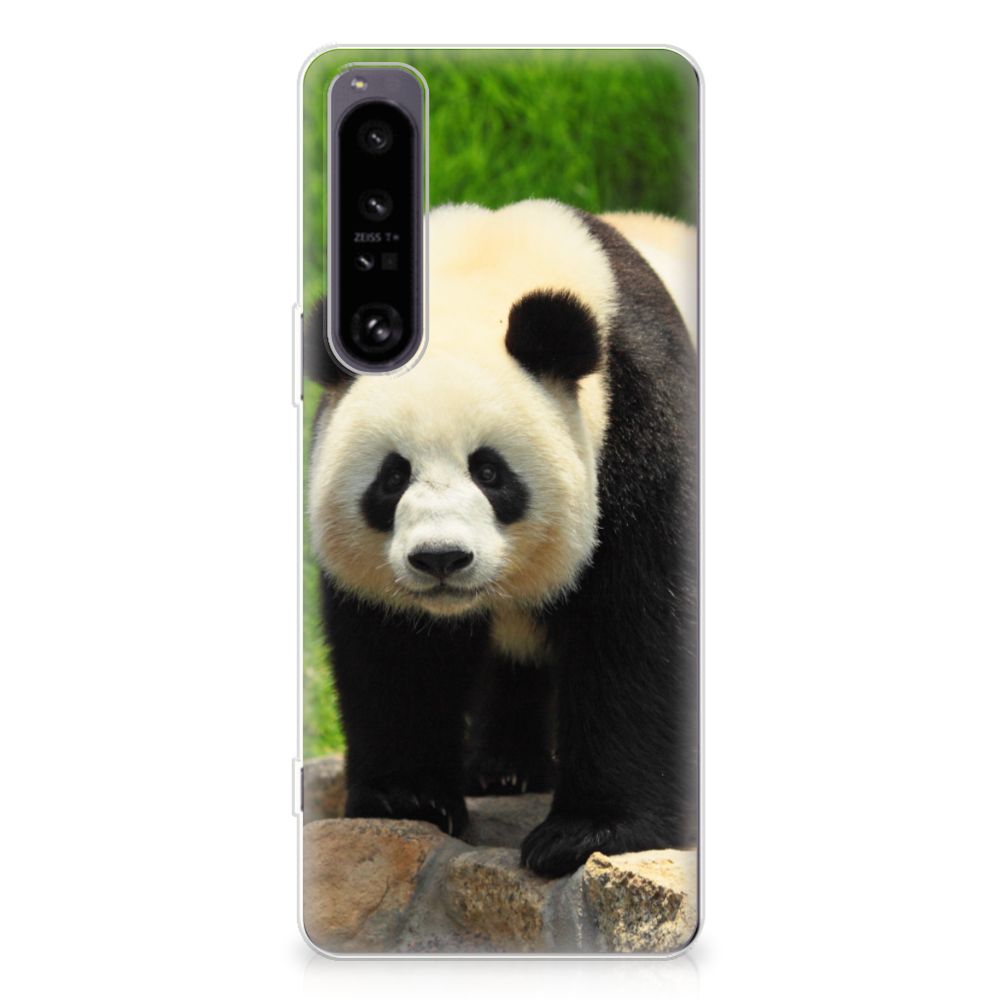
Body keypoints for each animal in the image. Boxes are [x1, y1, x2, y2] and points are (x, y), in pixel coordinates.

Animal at [305, 199, 698, 877]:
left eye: (489, 472)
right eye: (392, 477)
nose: (441, 558)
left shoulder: (639, 420)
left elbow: (637, 625)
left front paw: (587, 832)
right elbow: (394, 649)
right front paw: (408, 799)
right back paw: (503, 770)